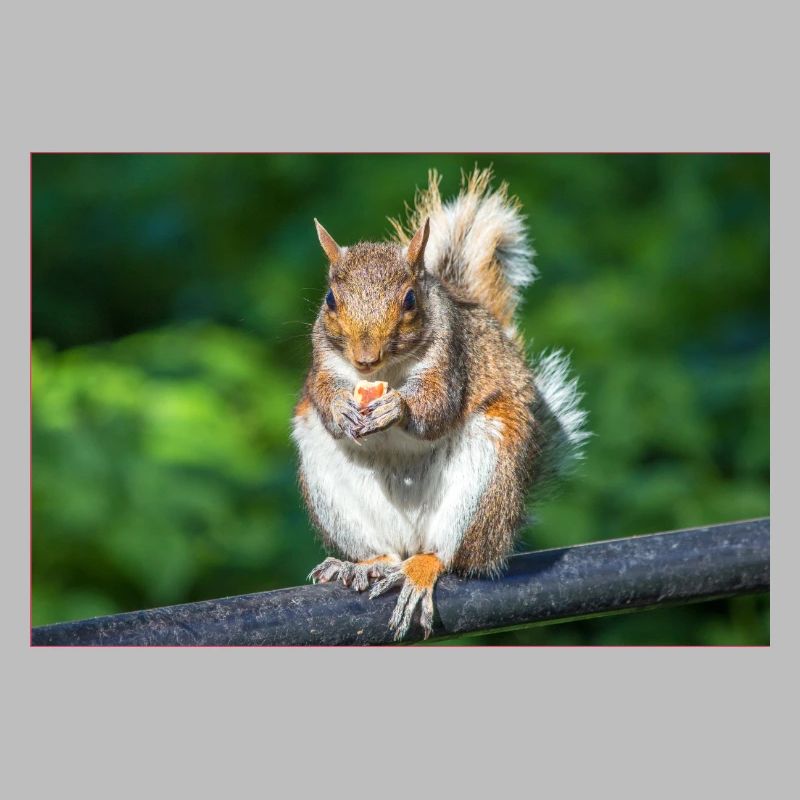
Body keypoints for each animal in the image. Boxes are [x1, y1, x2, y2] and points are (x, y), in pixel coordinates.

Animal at [291, 167, 588, 640]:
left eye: (410, 299)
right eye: (330, 300)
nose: (364, 358)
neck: (388, 372)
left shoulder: (452, 357)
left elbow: (436, 407)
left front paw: (398, 409)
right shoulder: (323, 359)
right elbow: (322, 394)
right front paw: (340, 408)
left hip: (486, 478)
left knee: (450, 556)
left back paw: (421, 570)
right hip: (327, 478)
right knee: (385, 550)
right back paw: (366, 564)